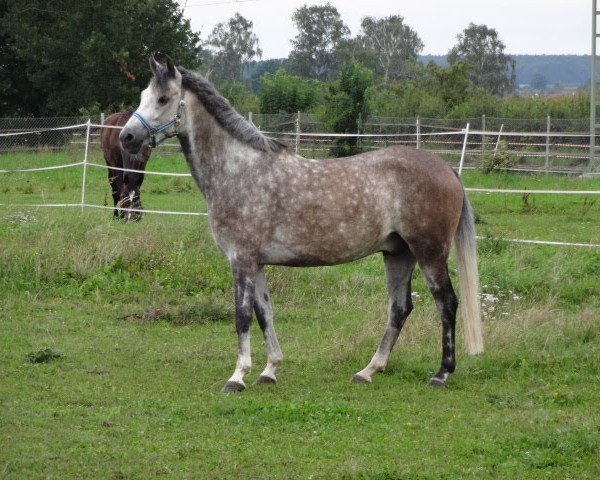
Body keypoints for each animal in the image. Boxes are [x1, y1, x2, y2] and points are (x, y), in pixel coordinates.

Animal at [119, 57, 486, 394]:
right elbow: (265, 314)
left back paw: (441, 373)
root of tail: (447, 168)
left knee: (447, 303)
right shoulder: (257, 263)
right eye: (143, 95)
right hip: (398, 254)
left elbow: (242, 316)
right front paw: (269, 370)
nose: (126, 136)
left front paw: (237, 377)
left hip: (429, 253)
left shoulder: (241, 260)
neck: (240, 170)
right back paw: (368, 370)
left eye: (163, 99)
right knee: (400, 308)